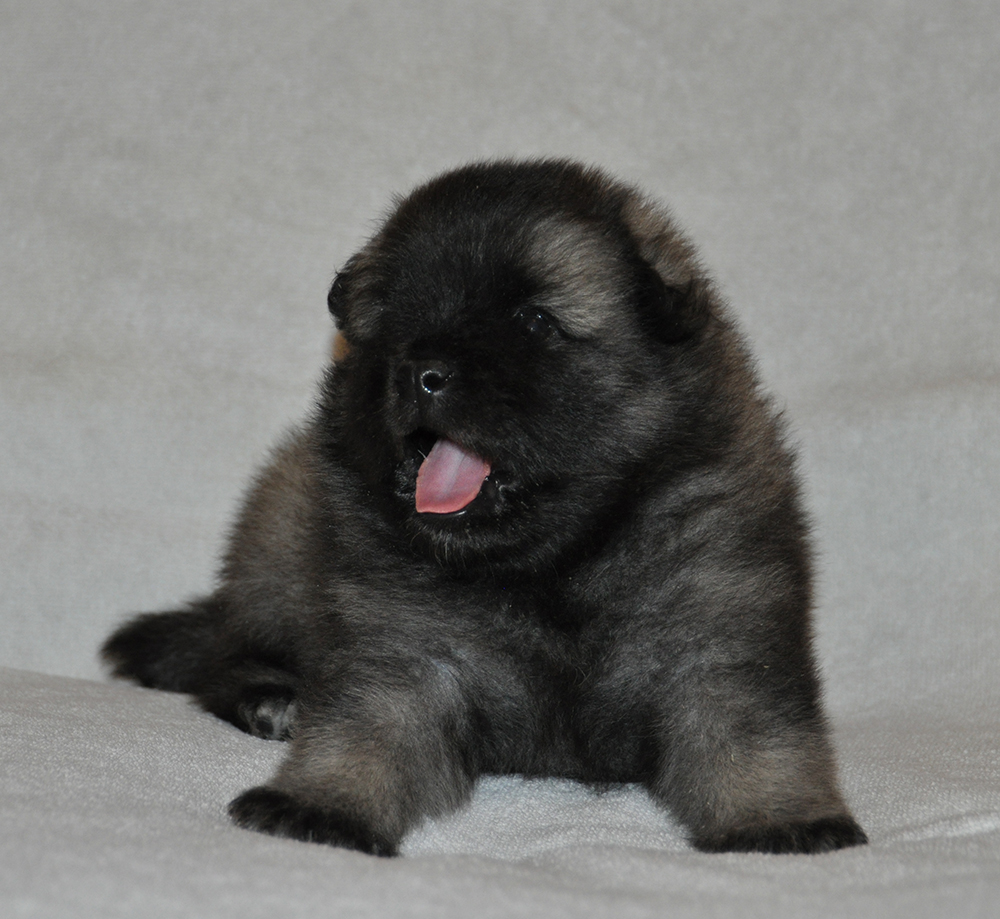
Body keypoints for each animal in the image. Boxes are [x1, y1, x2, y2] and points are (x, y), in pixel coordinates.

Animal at [102, 159, 867, 856]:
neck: (555, 563)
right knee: (223, 654)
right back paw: (272, 697)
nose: (422, 372)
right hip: (282, 532)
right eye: (398, 320)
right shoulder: (407, 650)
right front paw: (320, 801)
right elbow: (364, 724)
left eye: (534, 322)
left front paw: (778, 815)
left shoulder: (719, 628)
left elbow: (752, 727)